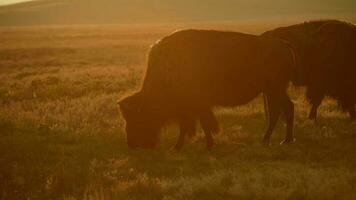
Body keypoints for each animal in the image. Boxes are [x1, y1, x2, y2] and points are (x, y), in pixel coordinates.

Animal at [119, 29, 298, 150]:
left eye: (137, 118)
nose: (132, 143)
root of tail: (284, 45)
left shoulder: (194, 107)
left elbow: (197, 125)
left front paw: (183, 146)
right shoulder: (195, 108)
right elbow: (197, 125)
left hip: (275, 89)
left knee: (279, 111)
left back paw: (271, 140)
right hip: (274, 90)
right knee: (285, 109)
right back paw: (281, 140)